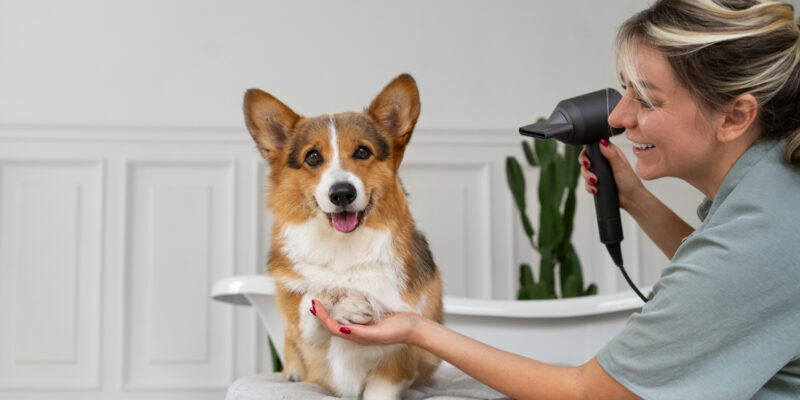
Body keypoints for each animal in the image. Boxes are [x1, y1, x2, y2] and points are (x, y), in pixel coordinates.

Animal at [244, 74, 444, 396]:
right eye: (313, 157)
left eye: (362, 151)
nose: (341, 194)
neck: (344, 246)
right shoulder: (306, 333)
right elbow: (310, 300)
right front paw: (342, 304)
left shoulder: (397, 359)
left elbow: (381, 388)